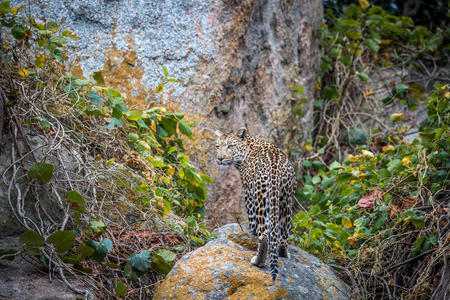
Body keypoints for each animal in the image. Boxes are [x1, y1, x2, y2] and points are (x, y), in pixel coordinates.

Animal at [214, 126, 296, 282]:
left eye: (230, 146)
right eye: (217, 146)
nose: (219, 158)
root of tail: (275, 168)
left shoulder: (247, 191)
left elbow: (251, 216)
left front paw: (251, 230)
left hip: (260, 197)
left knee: (264, 236)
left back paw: (257, 261)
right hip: (286, 200)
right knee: (283, 232)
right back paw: (283, 253)